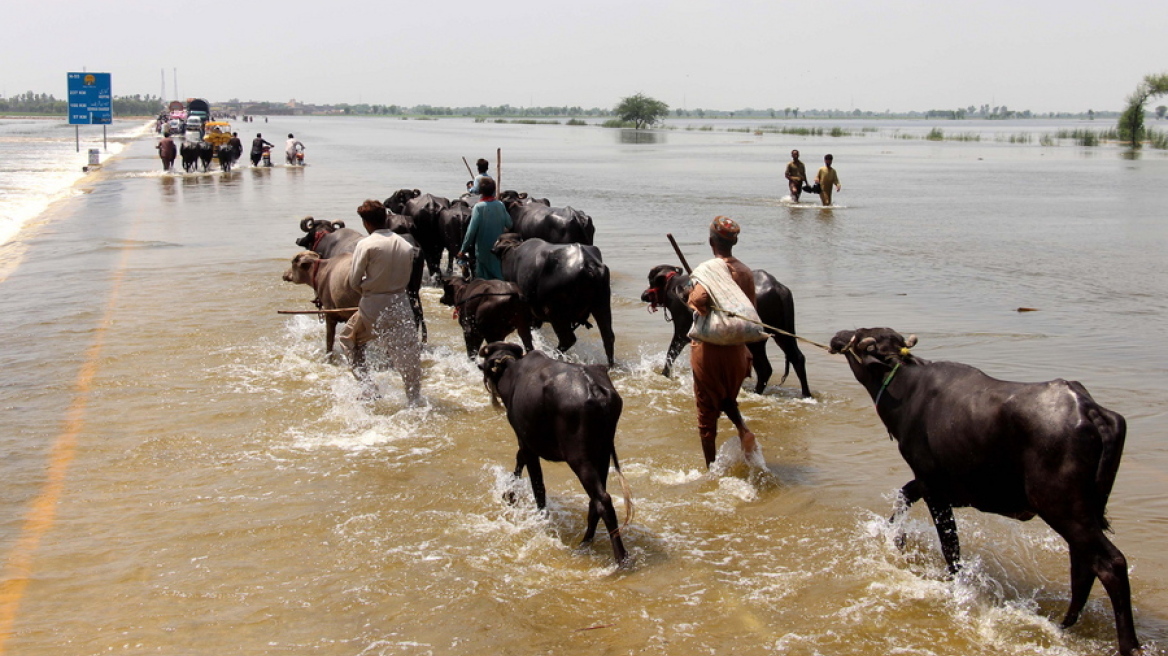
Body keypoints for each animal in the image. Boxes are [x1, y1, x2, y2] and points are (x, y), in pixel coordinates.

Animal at [478, 338, 635, 564]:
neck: (512, 374)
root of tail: (595, 389)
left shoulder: (526, 442)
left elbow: (538, 487)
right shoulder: (527, 442)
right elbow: (519, 461)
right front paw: (509, 494)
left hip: (580, 458)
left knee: (603, 499)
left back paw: (620, 557)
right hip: (603, 454)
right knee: (595, 500)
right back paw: (585, 541)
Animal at [495, 232, 621, 364]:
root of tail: (588, 265)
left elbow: (525, 335)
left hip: (556, 313)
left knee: (568, 339)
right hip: (602, 304)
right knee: (608, 336)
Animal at [640, 262, 812, 396]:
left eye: (651, 280)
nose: (644, 295)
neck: (674, 286)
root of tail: (778, 288)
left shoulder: (681, 334)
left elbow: (670, 357)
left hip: (755, 340)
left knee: (765, 369)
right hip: (783, 333)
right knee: (797, 358)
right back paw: (806, 394)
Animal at [831, 326, 1139, 653]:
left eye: (859, 337)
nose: (838, 336)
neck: (907, 389)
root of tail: (1091, 410)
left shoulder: (933, 487)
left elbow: (950, 546)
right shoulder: (928, 482)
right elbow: (904, 496)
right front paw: (894, 537)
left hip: (1063, 509)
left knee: (1110, 564)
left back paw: (1128, 643)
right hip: (1083, 512)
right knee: (1083, 566)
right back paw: (1064, 623)